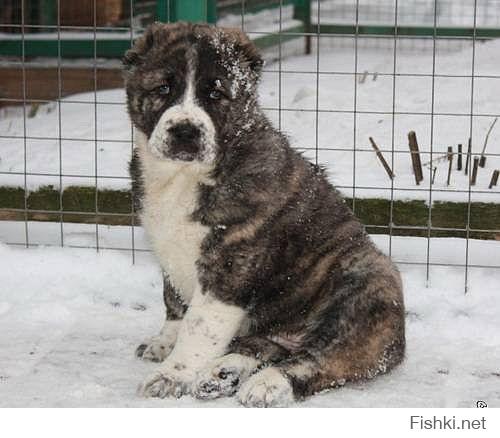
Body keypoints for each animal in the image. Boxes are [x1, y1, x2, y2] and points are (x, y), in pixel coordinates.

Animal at [123, 22, 404, 408]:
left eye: (216, 94)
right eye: (163, 89)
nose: (185, 131)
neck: (184, 178)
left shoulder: (229, 268)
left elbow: (199, 327)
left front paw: (172, 375)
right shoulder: (166, 247)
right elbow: (175, 303)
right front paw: (164, 342)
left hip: (366, 283)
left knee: (321, 359)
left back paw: (267, 384)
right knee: (267, 346)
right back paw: (222, 374)